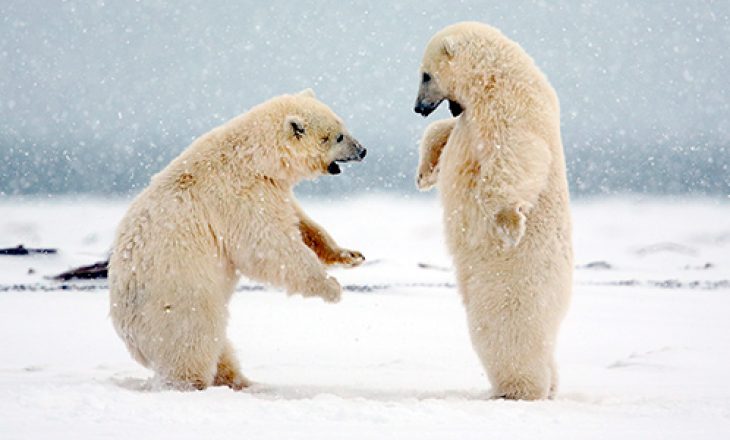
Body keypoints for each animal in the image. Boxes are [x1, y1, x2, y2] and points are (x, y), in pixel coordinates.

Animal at [107, 88, 364, 388]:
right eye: (338, 136)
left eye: (342, 125)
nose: (363, 150)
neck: (253, 157)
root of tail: (125, 326)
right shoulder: (238, 197)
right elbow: (269, 247)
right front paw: (331, 287)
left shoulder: (271, 188)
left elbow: (302, 223)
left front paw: (350, 255)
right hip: (176, 296)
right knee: (194, 338)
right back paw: (195, 383)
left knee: (218, 344)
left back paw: (238, 379)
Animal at [412, 22, 572, 400]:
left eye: (425, 75)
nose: (418, 107)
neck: (493, 74)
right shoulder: (470, 114)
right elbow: (445, 133)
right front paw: (424, 173)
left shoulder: (511, 105)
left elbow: (517, 153)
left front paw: (507, 222)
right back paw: (551, 384)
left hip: (513, 287)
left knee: (505, 336)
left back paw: (518, 390)